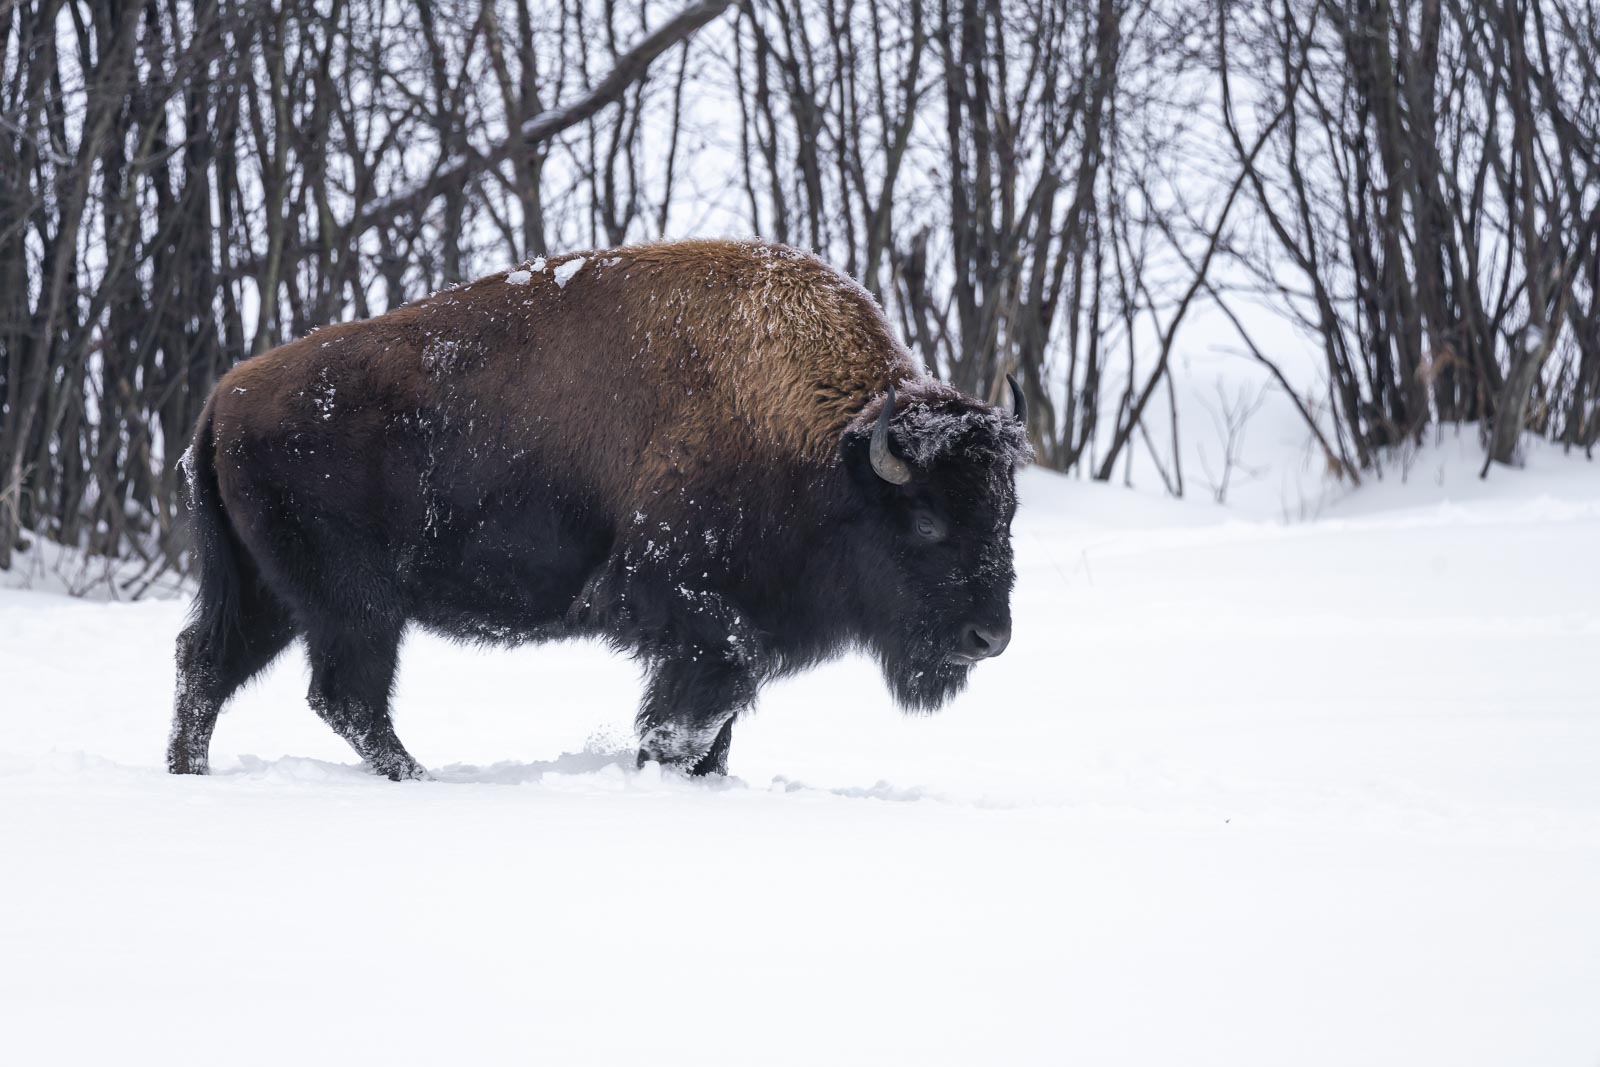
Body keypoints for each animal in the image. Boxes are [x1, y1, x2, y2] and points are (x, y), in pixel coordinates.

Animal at [168, 238, 1030, 780]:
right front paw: (657, 765)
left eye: (1004, 513)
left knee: (207, 665)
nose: (989, 637)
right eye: (926, 520)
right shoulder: (676, 600)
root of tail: (223, 398)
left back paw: (191, 774)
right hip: (355, 604)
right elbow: (699, 707)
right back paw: (419, 779)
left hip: (273, 596)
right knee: (344, 695)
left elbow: (718, 722)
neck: (829, 450)